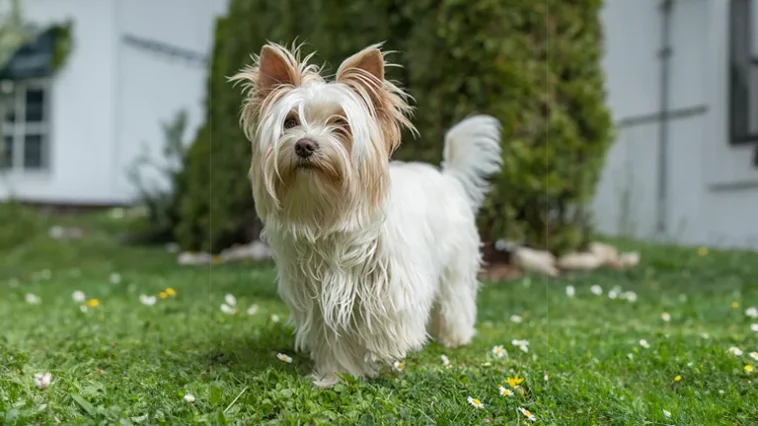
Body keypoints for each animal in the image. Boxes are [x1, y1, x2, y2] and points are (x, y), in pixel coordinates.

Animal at [232, 42, 504, 386]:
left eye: (341, 124)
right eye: (290, 122)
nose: (304, 145)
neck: (329, 214)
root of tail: (449, 177)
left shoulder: (393, 286)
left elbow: (386, 324)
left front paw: (382, 356)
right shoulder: (321, 299)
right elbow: (333, 339)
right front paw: (335, 375)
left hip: (455, 265)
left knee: (456, 300)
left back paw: (455, 337)